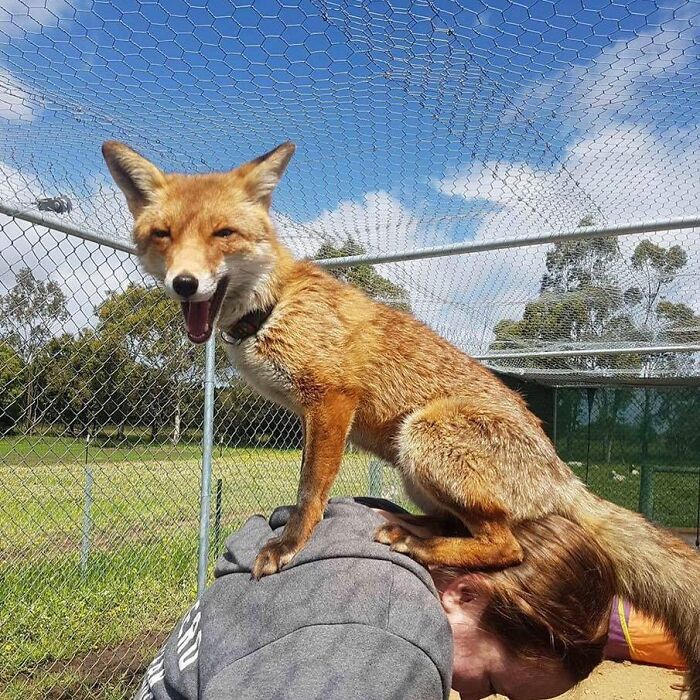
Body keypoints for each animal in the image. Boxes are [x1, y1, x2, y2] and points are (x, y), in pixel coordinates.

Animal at [102, 140, 700, 696]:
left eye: (223, 233)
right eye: (163, 235)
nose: (183, 283)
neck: (271, 309)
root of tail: (560, 471)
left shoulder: (332, 400)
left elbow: (311, 488)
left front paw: (290, 544)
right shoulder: (315, 411)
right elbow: (308, 485)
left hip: (424, 435)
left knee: (505, 545)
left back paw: (420, 545)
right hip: (414, 467)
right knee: (470, 528)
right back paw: (409, 529)